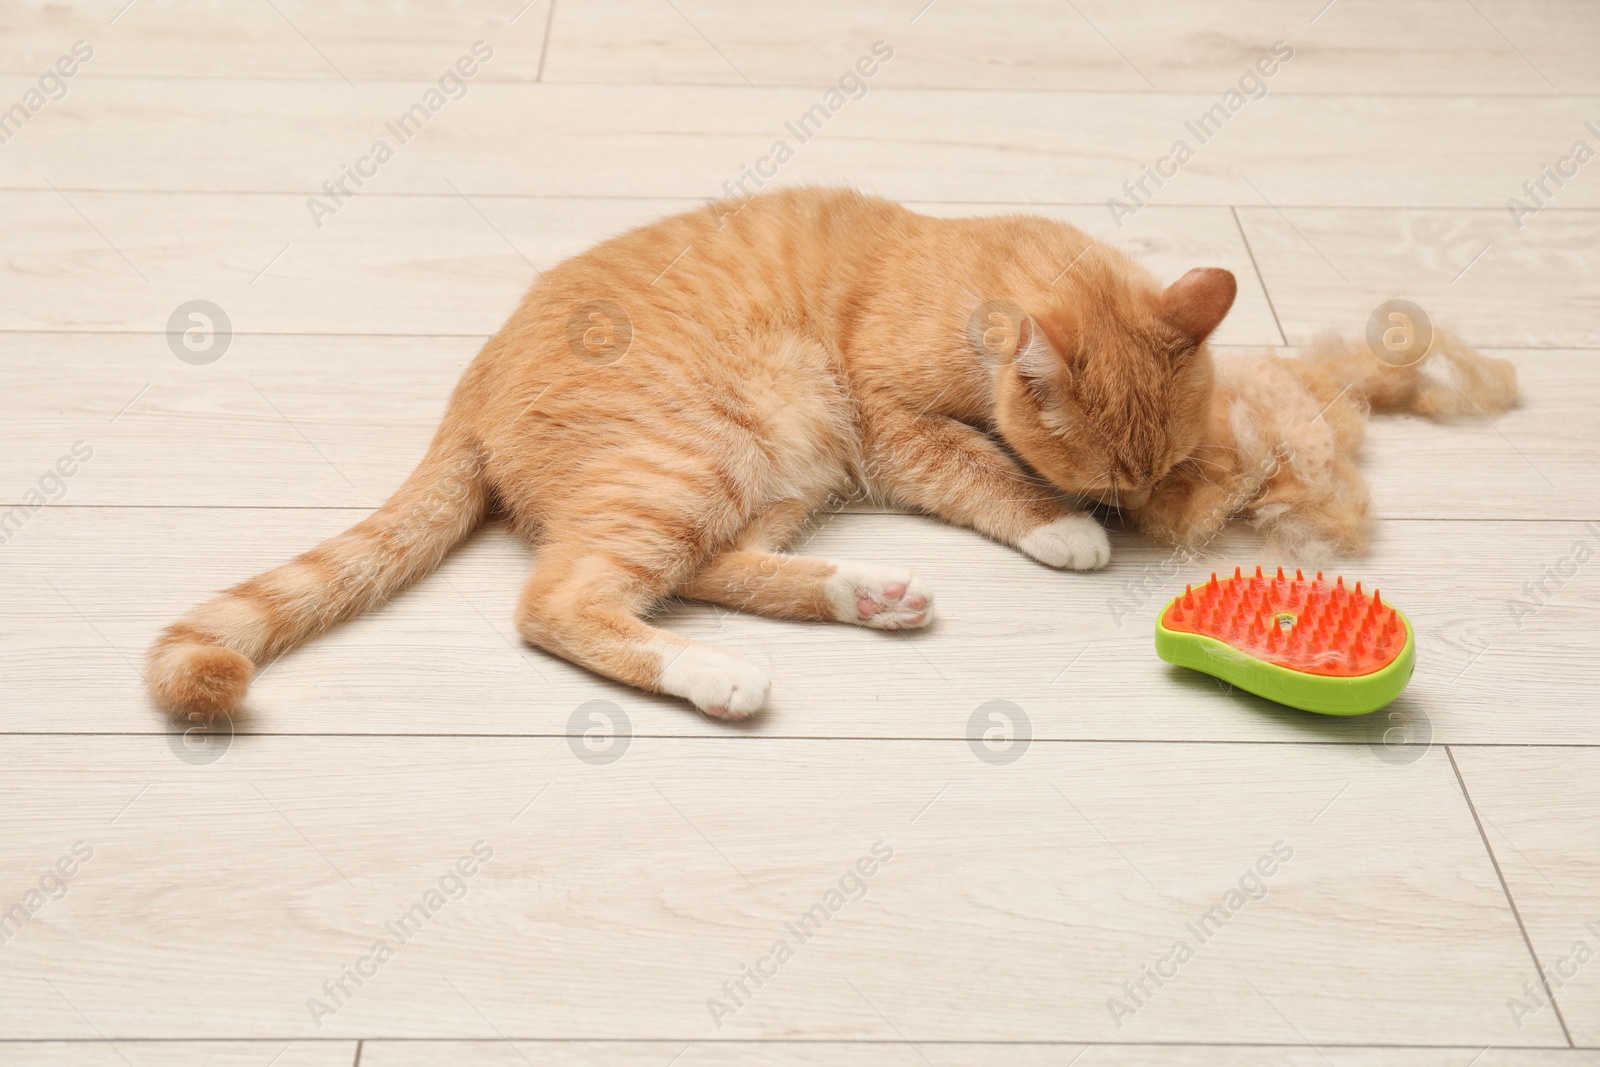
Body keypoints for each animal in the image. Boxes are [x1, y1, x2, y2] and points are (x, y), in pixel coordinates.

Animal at [150, 187, 1228, 723]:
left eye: (1155, 472)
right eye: (1103, 482)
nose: (1136, 513)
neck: (973, 271)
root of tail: (472, 382)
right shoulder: (888, 424)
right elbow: (981, 468)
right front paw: (1061, 525)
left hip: (788, 460)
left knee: (704, 566)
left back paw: (864, 593)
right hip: (713, 447)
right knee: (561, 601)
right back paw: (717, 675)